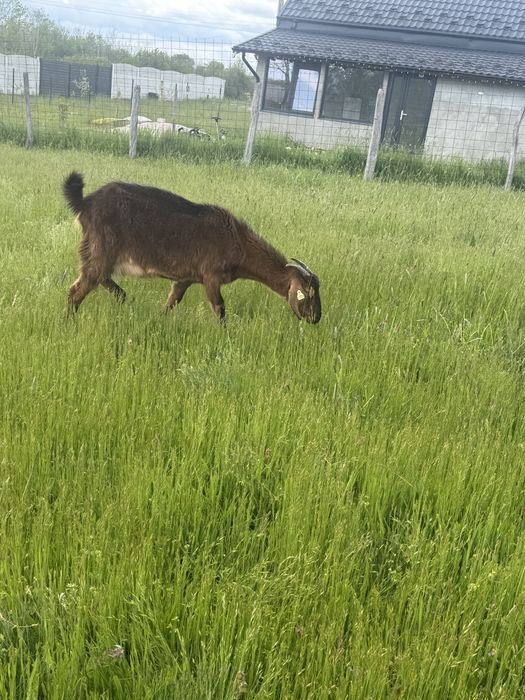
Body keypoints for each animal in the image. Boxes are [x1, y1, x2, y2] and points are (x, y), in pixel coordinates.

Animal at [63, 173, 321, 324]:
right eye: (307, 293)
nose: (316, 318)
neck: (237, 240)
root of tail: (84, 203)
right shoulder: (211, 276)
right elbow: (220, 308)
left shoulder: (185, 278)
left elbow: (172, 301)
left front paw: (159, 320)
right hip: (101, 249)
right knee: (77, 289)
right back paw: (68, 322)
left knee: (99, 280)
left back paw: (123, 297)